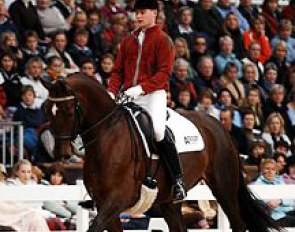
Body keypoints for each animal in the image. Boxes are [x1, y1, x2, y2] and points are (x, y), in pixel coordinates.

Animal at [41, 74, 282, 232]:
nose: (60, 153)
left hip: (224, 188)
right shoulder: (104, 205)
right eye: (46, 110)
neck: (107, 136)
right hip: (168, 201)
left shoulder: (116, 200)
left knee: (237, 223)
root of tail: (218, 125)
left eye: (68, 110)